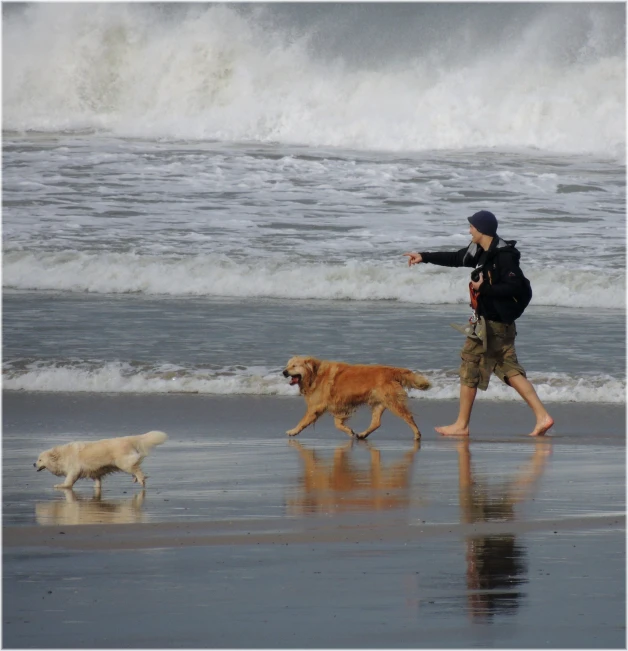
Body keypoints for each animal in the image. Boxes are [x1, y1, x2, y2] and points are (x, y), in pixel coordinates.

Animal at [33, 432, 167, 488]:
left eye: (40, 460)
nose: (33, 464)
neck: (61, 455)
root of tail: (128, 439)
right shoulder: (95, 470)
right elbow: (97, 480)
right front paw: (97, 488)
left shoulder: (74, 469)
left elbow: (69, 480)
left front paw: (61, 485)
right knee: (135, 466)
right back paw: (135, 478)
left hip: (122, 462)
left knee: (135, 468)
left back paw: (140, 479)